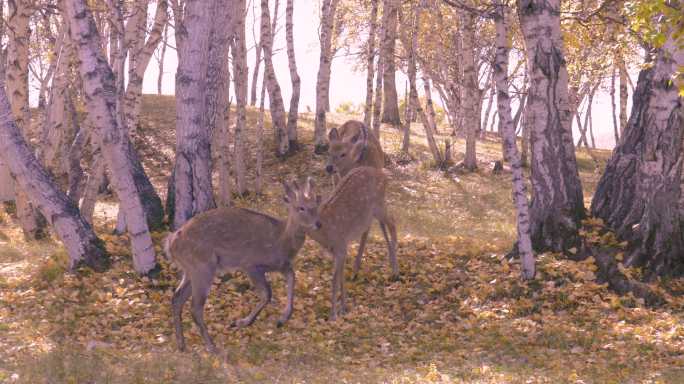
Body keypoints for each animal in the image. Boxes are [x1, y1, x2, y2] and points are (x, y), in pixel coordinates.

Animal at [168, 178, 324, 352]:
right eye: (301, 207)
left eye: (316, 204)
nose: (318, 223)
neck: (281, 242)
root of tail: (171, 243)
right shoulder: (250, 264)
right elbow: (267, 294)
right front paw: (242, 322)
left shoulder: (281, 265)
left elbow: (292, 278)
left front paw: (283, 318)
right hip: (202, 267)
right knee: (195, 307)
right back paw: (212, 346)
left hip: (191, 270)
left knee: (177, 298)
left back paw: (181, 344)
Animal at [302, 166, 398, 320]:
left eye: (310, 207)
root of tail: (384, 176)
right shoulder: (337, 251)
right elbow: (340, 275)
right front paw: (343, 308)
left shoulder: (341, 246)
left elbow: (335, 279)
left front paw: (334, 315)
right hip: (373, 212)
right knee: (379, 226)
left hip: (379, 205)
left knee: (392, 223)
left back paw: (395, 271)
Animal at [328, 120, 396, 280]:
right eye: (329, 151)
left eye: (343, 153)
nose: (329, 167)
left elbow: (368, 229)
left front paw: (356, 268)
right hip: (338, 181)